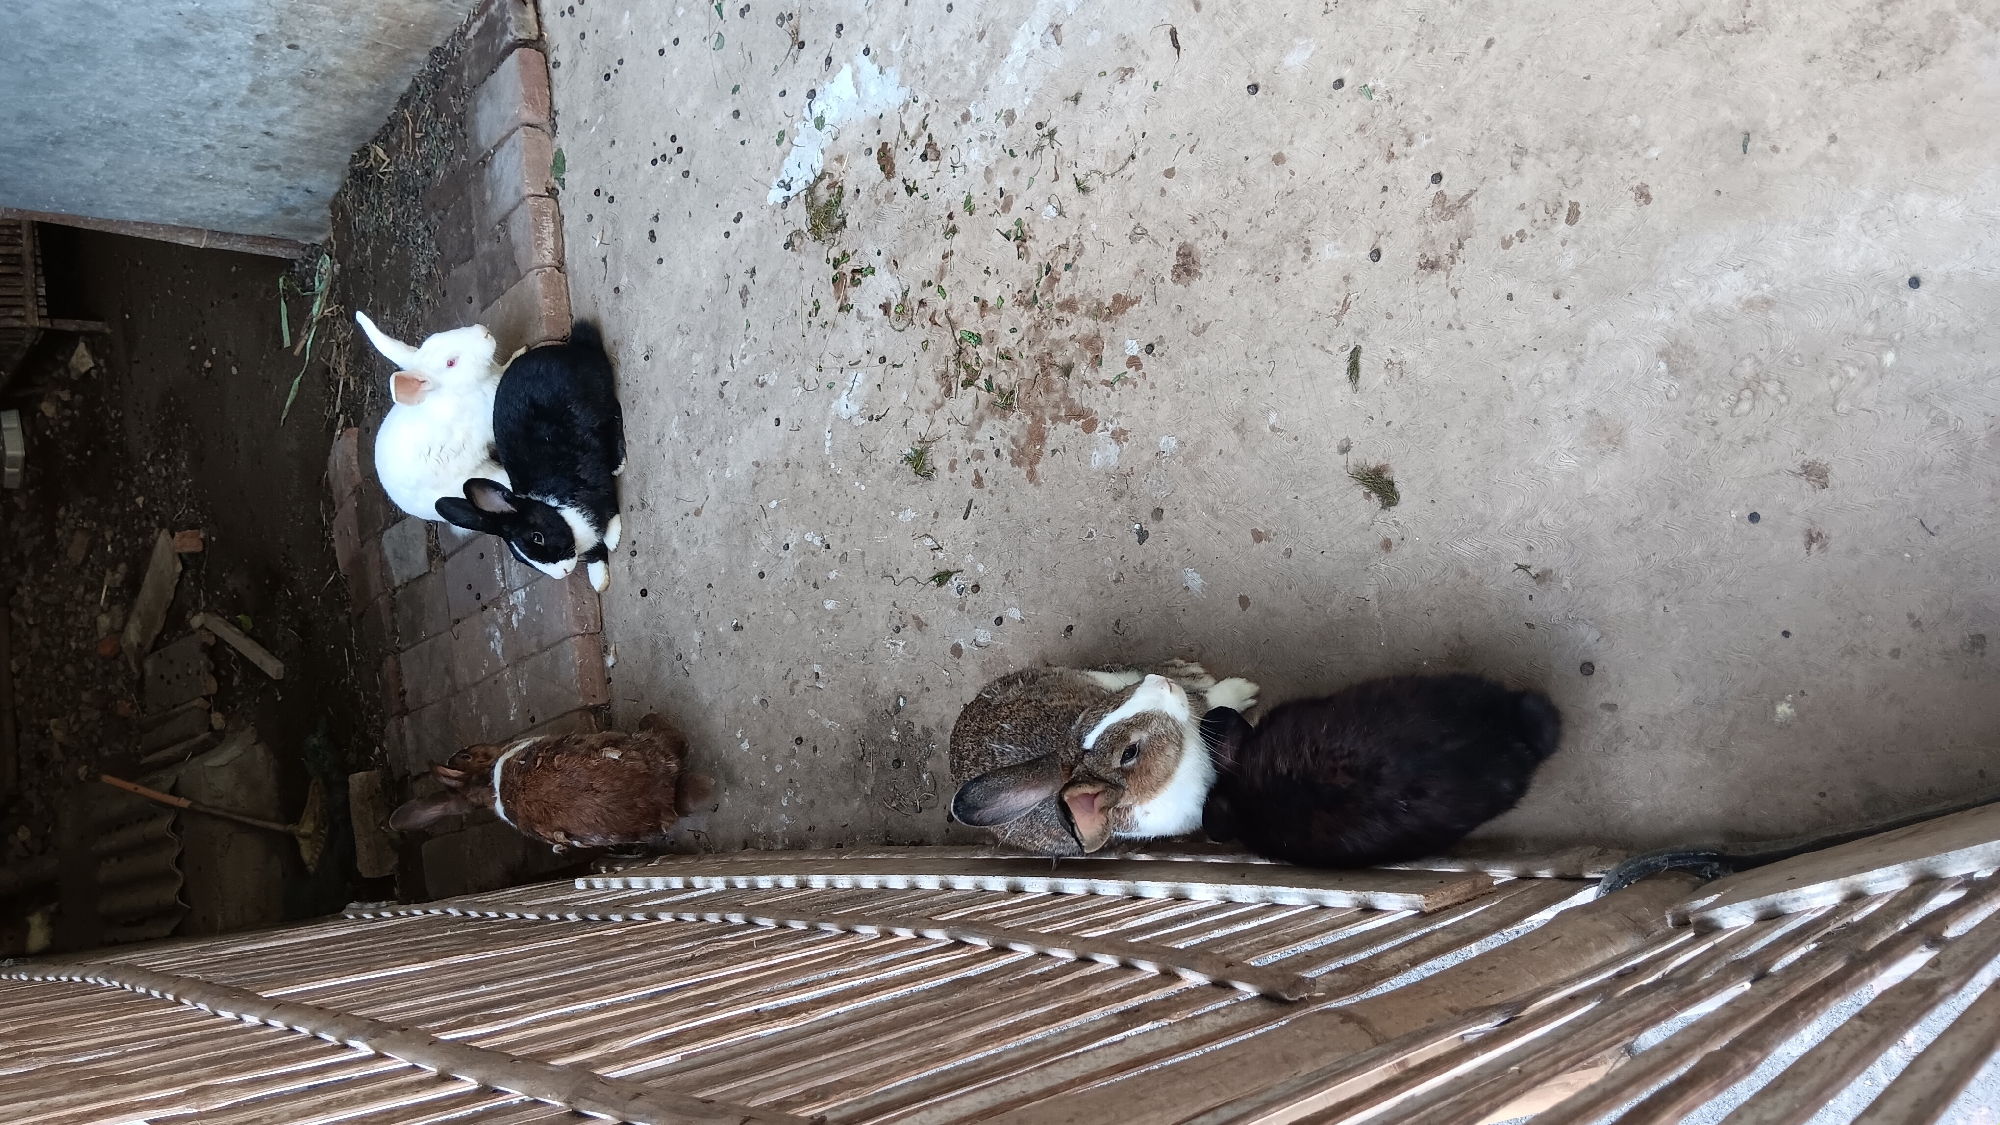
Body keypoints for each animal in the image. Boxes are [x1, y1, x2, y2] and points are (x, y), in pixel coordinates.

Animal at [434, 320, 626, 592]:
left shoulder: (594, 480)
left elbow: (608, 506)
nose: (564, 572)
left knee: (615, 412)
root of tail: (574, 348)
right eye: (521, 560)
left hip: (597, 401)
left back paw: (618, 463)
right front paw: (599, 580)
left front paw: (613, 537)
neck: (560, 513)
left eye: (538, 537)